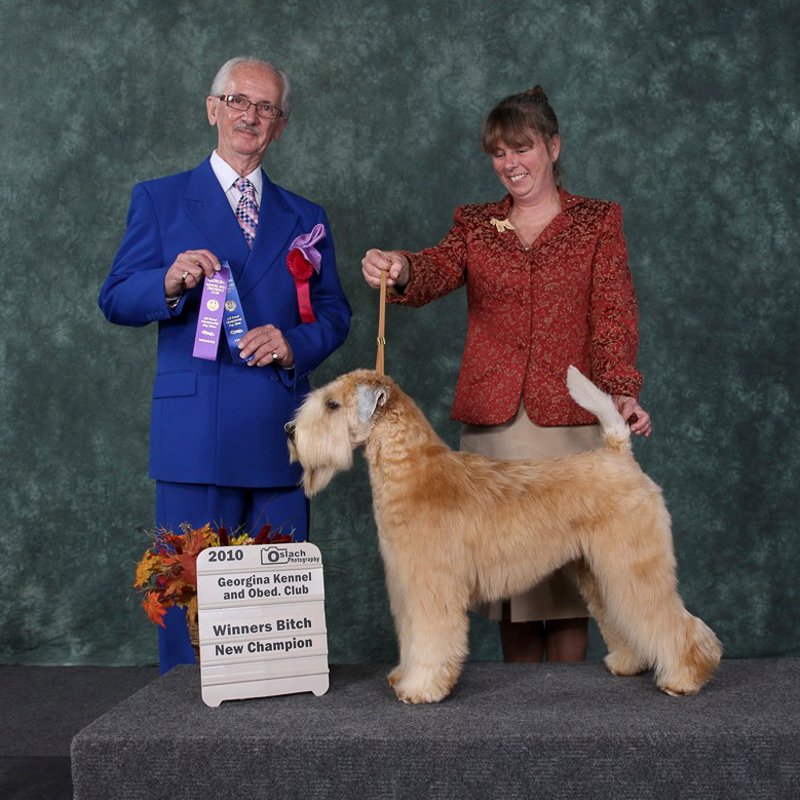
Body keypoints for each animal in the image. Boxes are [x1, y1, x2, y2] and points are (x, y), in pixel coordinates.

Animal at [285, 368, 722, 704]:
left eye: (331, 404)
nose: (289, 429)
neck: (411, 469)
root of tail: (618, 454)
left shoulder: (432, 587)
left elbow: (431, 640)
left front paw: (421, 688)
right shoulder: (405, 583)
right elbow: (411, 636)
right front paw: (402, 676)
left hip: (632, 566)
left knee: (672, 621)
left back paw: (685, 677)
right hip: (599, 572)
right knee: (624, 618)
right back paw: (628, 663)